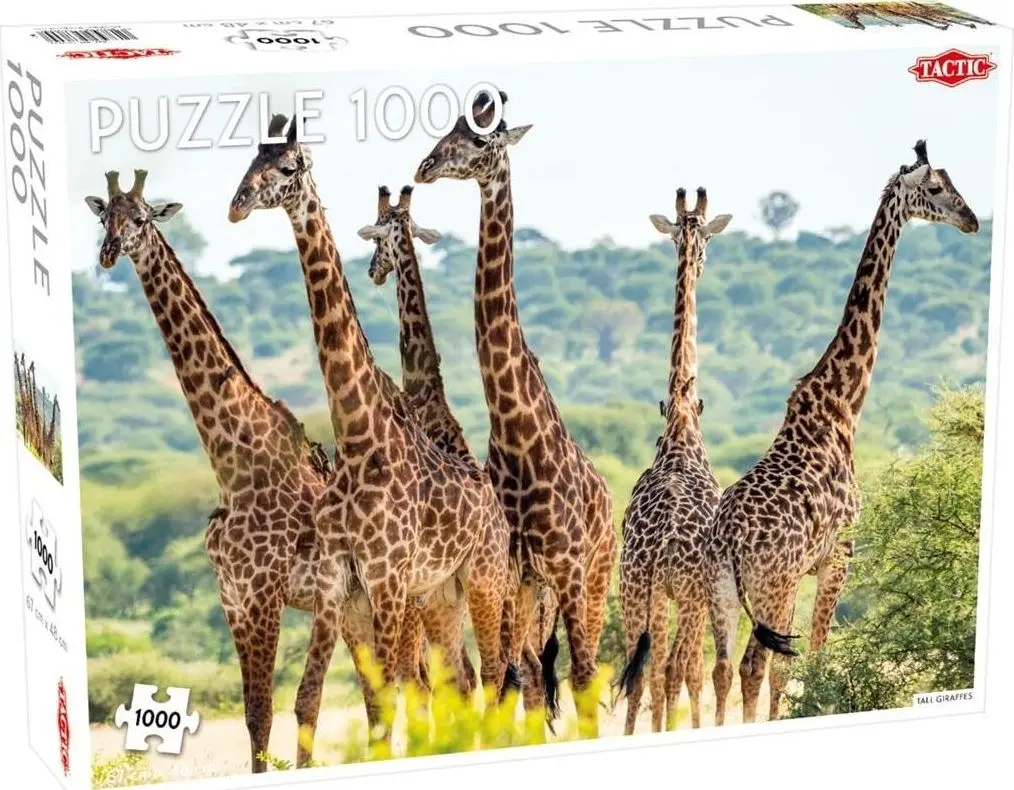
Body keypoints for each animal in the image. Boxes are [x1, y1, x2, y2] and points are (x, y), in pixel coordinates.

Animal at [83, 169, 345, 773]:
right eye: (104, 215)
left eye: (142, 218)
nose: (108, 253)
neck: (234, 468)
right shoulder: (233, 598)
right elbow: (253, 714)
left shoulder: (267, 593)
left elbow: (278, 706)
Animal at [228, 115, 515, 767]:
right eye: (248, 161)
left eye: (287, 167)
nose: (235, 206)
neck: (360, 440)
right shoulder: (345, 582)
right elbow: (350, 700)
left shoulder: (387, 577)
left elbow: (396, 694)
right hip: (441, 593)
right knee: (464, 679)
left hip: (481, 579)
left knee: (492, 675)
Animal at [414, 90, 616, 732]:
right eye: (445, 130)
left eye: (480, 139)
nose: (424, 166)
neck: (514, 430)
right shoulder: (511, 572)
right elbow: (509, 681)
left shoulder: (568, 567)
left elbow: (579, 678)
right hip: (532, 592)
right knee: (527, 674)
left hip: (596, 577)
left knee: (586, 670)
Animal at [705, 140, 979, 726]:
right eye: (937, 188)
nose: (971, 219)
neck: (842, 406)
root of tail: (731, 541)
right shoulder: (839, 556)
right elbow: (815, 657)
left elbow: (795, 665)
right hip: (773, 584)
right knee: (754, 667)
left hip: (720, 590)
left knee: (719, 668)